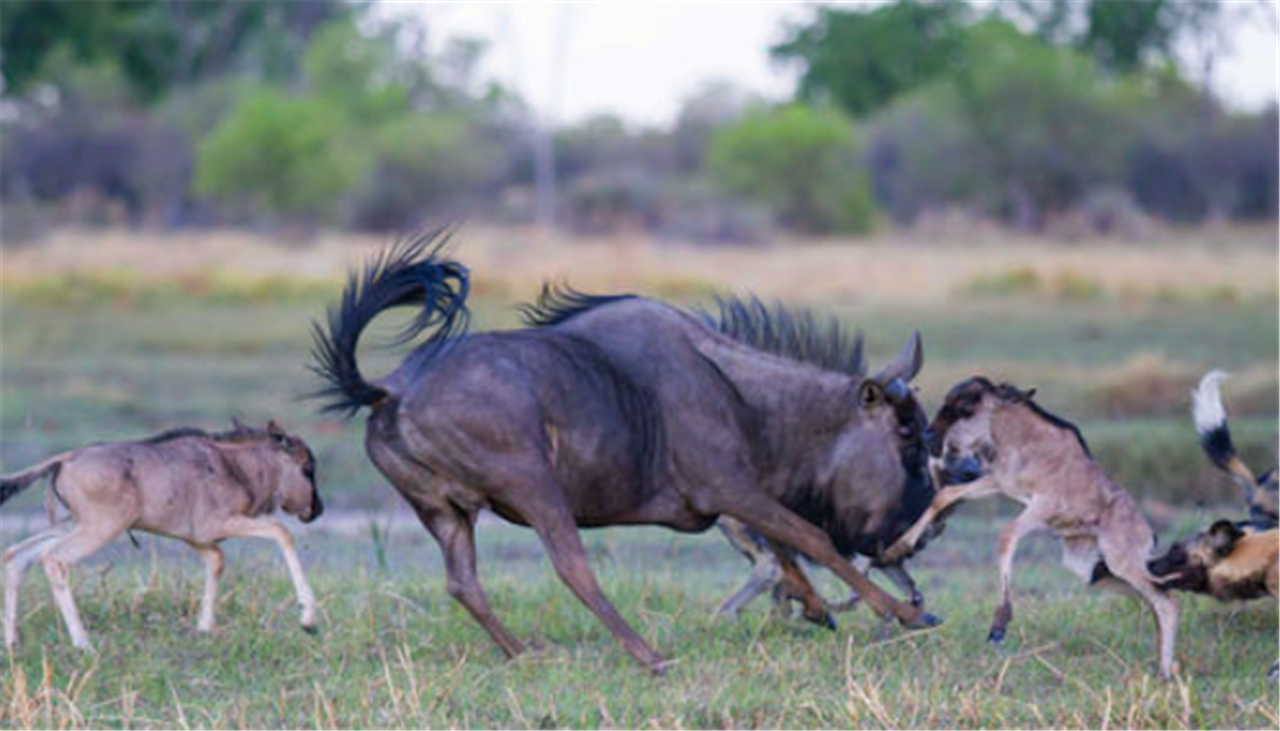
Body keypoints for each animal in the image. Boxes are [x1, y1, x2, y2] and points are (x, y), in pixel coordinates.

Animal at [1, 419, 320, 650]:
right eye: (307, 468)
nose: (316, 510)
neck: (234, 466)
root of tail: (65, 459)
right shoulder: (214, 525)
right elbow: (281, 532)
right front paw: (308, 618)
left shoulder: (198, 539)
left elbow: (217, 562)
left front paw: (204, 627)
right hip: (100, 527)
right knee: (53, 559)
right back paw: (82, 643)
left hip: (71, 523)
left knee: (16, 555)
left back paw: (12, 642)